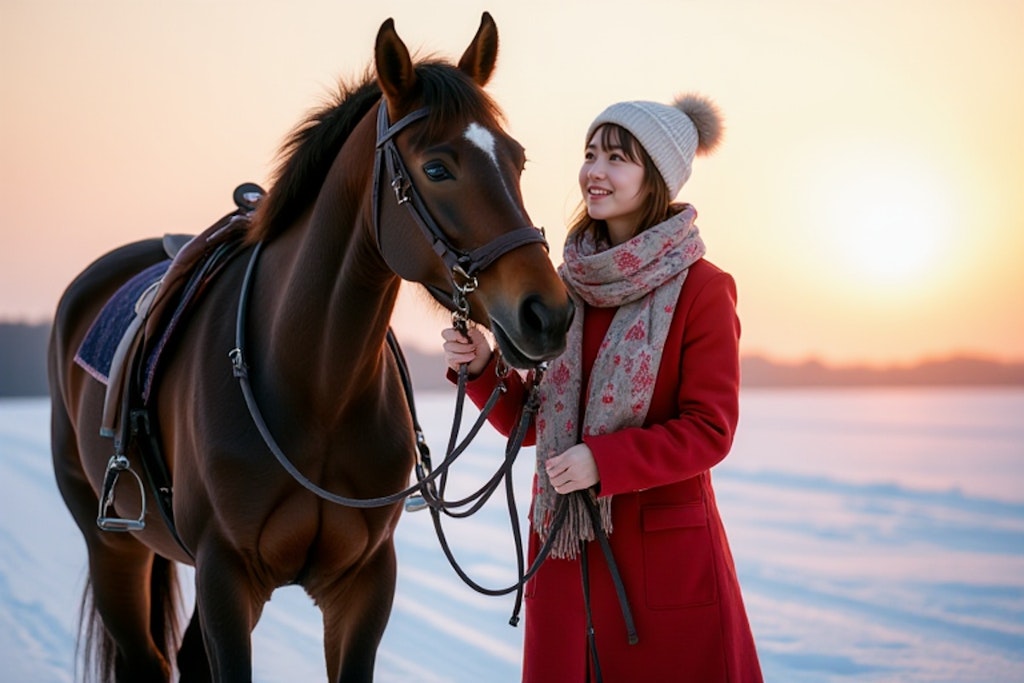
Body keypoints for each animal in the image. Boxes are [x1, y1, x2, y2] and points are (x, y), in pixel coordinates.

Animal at [48, 13, 573, 679]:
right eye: (436, 168)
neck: (316, 386)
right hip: (112, 545)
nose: (548, 314)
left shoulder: (363, 585)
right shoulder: (225, 578)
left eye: (517, 160)